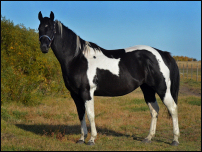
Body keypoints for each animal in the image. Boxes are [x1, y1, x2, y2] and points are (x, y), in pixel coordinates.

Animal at [38, 10, 180, 146]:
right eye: (39, 28)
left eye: (51, 28)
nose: (44, 48)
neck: (77, 58)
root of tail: (162, 53)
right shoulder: (75, 94)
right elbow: (81, 114)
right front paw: (81, 139)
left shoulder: (86, 92)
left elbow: (91, 115)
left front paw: (91, 140)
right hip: (147, 89)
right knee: (154, 110)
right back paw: (148, 138)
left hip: (162, 89)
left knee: (173, 108)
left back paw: (175, 140)